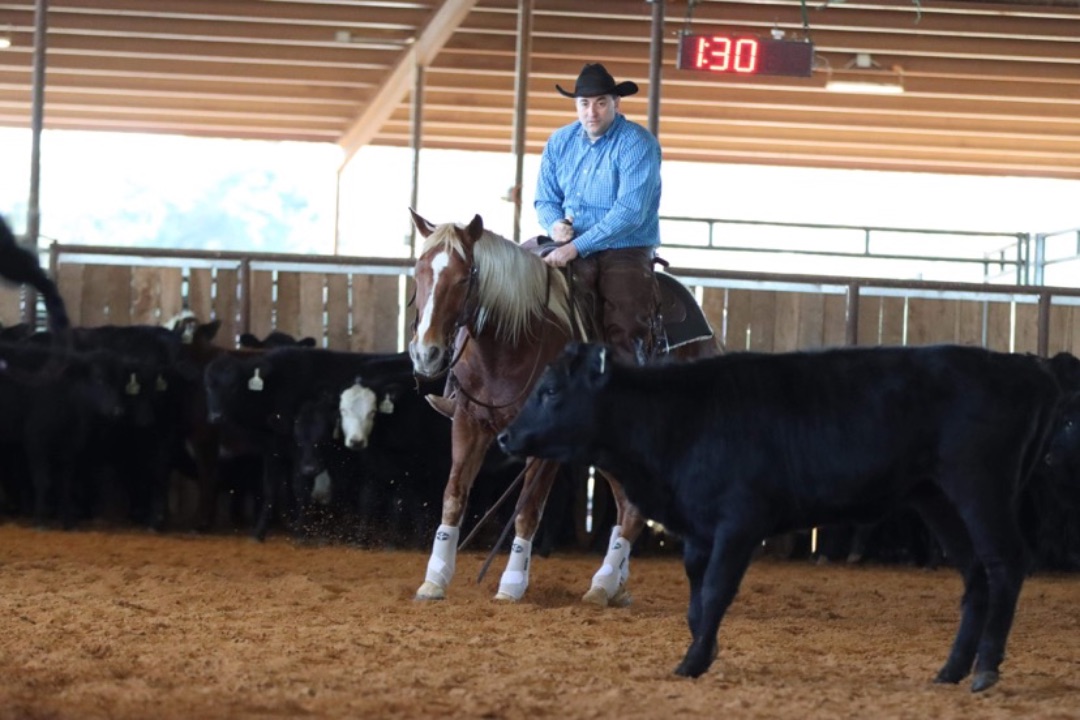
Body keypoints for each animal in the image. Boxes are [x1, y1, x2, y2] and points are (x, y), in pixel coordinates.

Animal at [407, 209, 718, 605]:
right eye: (419, 272)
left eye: (463, 279)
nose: (426, 354)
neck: (511, 342)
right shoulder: (468, 421)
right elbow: (453, 496)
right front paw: (435, 578)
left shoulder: (544, 444)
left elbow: (527, 511)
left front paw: (512, 584)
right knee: (628, 505)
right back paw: (615, 584)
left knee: (634, 509)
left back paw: (603, 584)